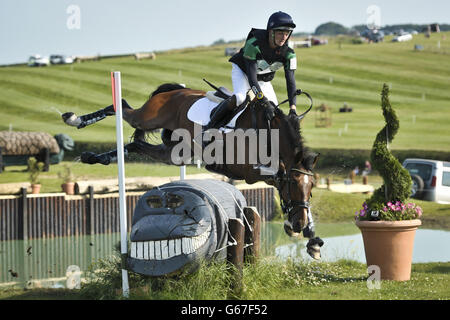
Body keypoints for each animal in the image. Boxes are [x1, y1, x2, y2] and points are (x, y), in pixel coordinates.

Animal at [61, 81, 326, 258]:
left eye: (311, 187)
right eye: (294, 185)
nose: (299, 223)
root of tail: (176, 90)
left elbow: (279, 176)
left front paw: (310, 236)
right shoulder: (247, 170)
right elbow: (278, 175)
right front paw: (297, 224)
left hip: (173, 154)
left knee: (134, 144)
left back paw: (95, 157)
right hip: (148, 118)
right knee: (122, 107)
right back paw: (74, 119)